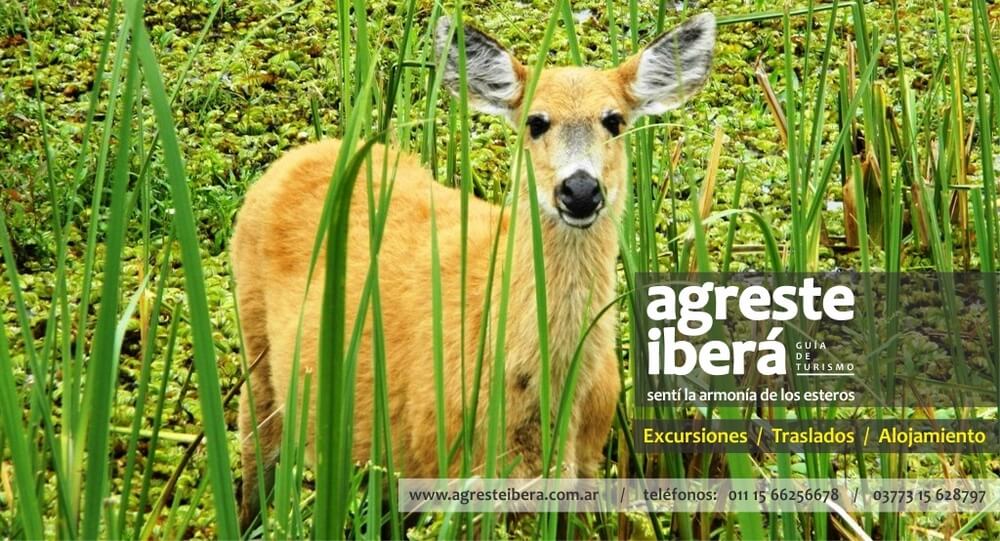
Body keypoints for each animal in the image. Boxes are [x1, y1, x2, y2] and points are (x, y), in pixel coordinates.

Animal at [230, 12, 715, 530]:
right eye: (536, 122)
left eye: (614, 121)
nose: (581, 190)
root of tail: (301, 154)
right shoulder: (448, 468)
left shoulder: (586, 462)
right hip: (257, 349)